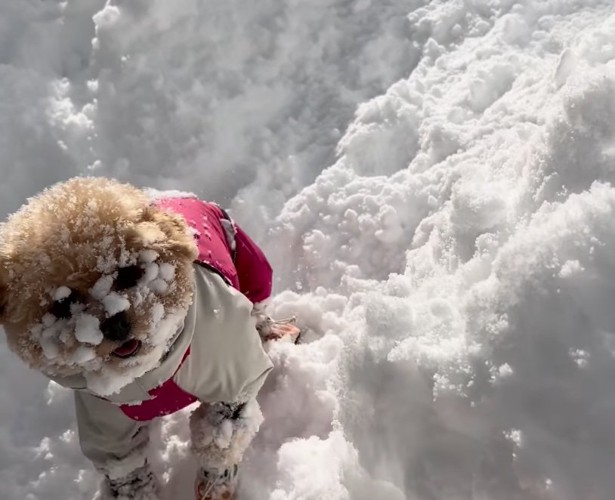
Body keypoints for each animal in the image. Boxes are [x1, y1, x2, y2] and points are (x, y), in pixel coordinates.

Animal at [0, 179, 296, 500]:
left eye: (129, 273)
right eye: (63, 304)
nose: (115, 324)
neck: (151, 373)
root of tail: (177, 195)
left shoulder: (230, 373)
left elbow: (221, 436)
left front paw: (215, 483)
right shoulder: (104, 420)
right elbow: (125, 468)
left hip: (248, 259)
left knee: (256, 306)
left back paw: (270, 331)